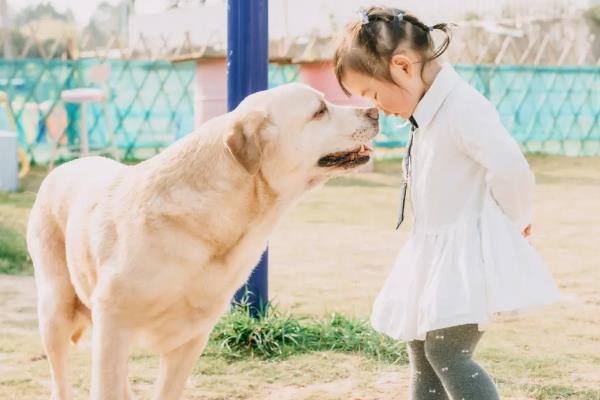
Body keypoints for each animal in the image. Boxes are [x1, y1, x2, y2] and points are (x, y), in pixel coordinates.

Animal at [27, 83, 380, 398]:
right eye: (320, 111)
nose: (375, 111)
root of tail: (67, 165)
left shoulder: (189, 340)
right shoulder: (113, 329)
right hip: (55, 312)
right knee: (60, 381)